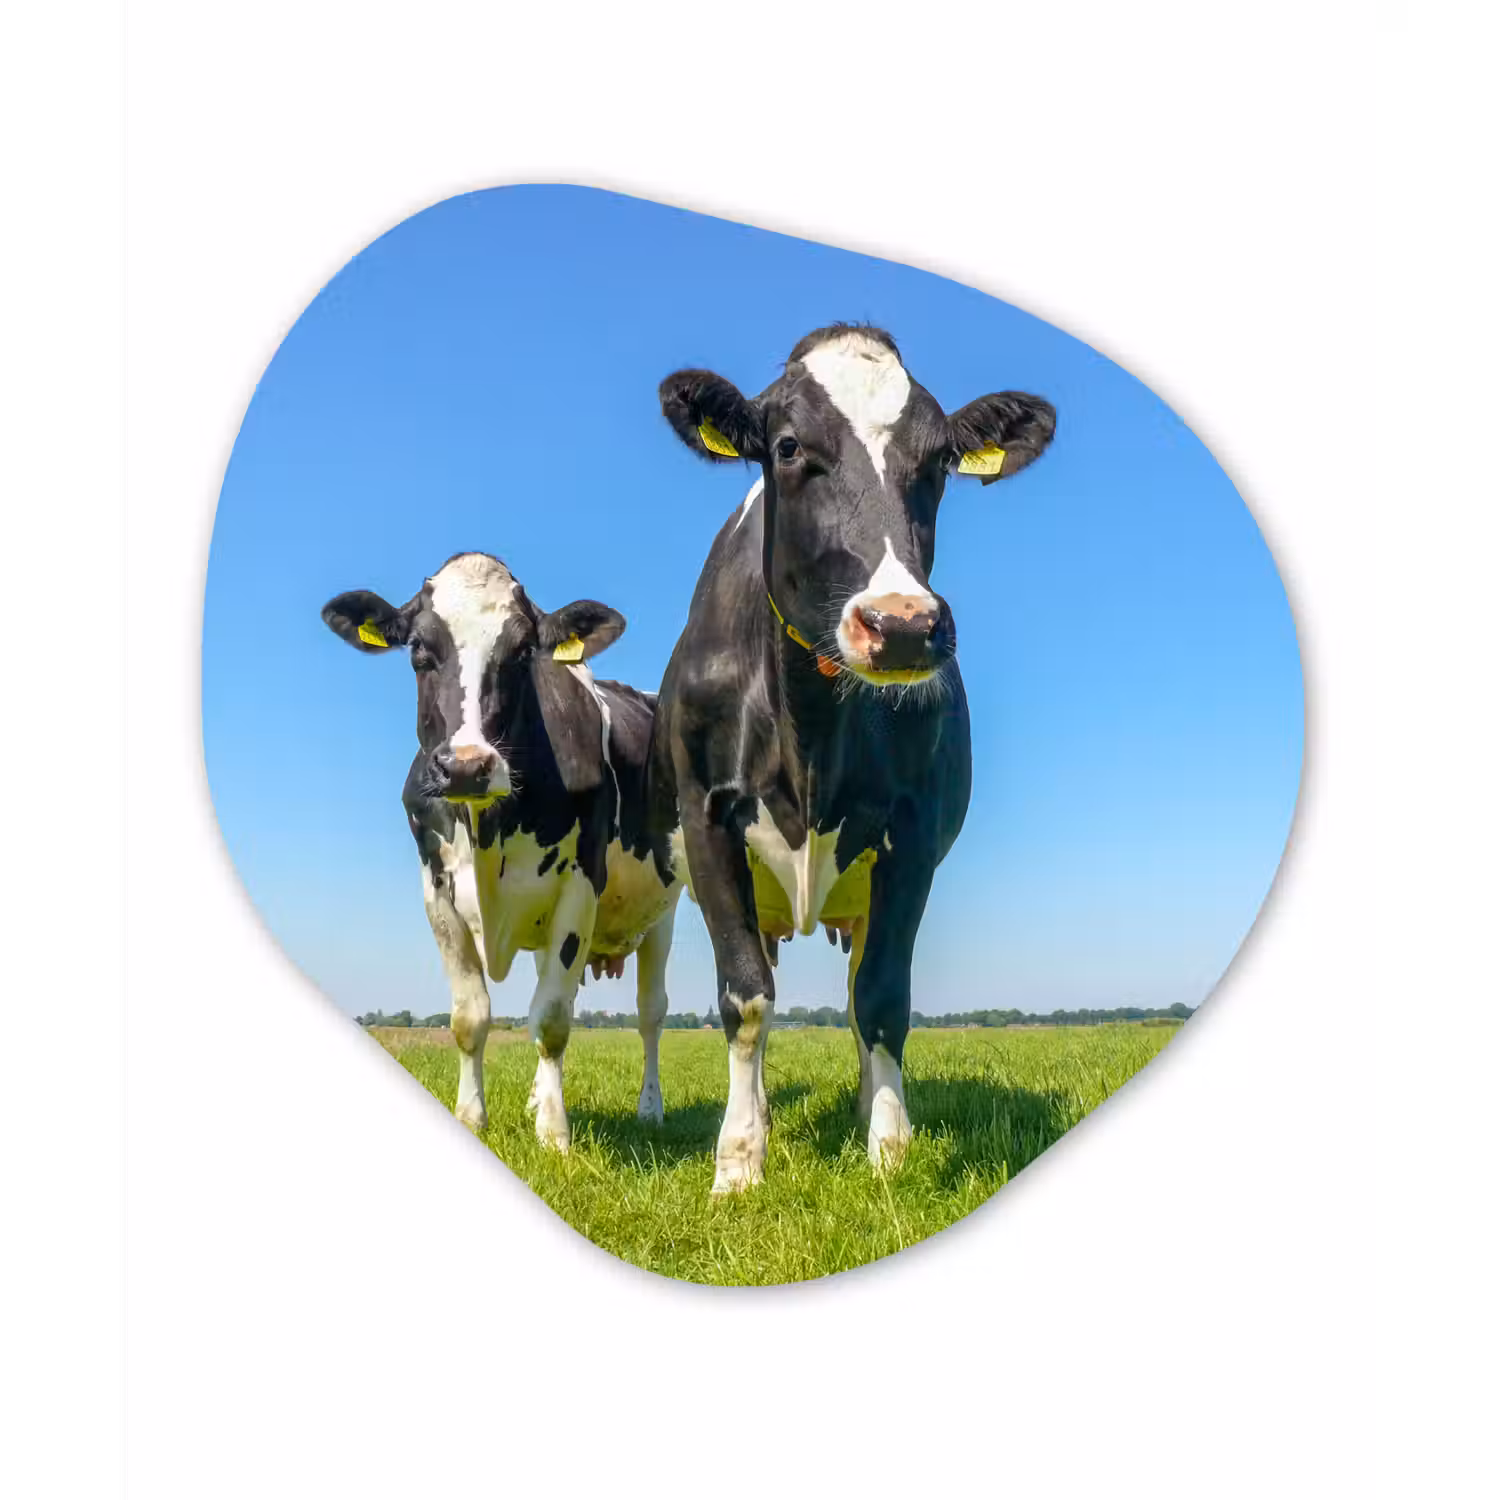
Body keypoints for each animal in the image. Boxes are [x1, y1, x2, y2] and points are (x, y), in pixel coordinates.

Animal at [322, 551, 683, 1152]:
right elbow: (471, 1016)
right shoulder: (437, 894)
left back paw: (650, 1109)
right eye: (418, 648)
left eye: (521, 652)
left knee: (650, 1013)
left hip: (665, 911)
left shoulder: (579, 887)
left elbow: (553, 1017)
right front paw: (473, 1117)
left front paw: (554, 1134)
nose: (466, 766)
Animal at [648, 324, 1056, 1194]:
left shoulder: (912, 836)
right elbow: (746, 998)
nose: (901, 626)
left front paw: (889, 1151)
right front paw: (739, 1160)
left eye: (940, 460)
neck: (809, 724)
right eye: (788, 447)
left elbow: (881, 998)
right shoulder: (707, 822)